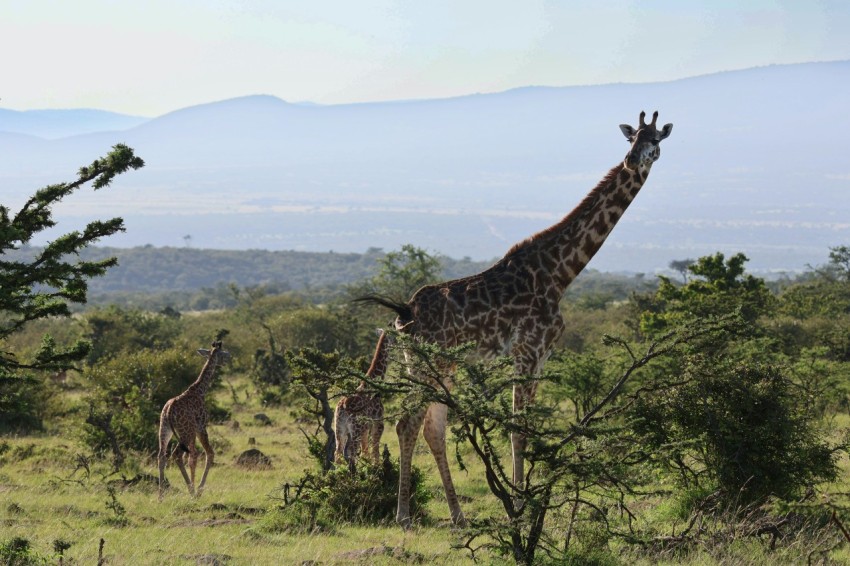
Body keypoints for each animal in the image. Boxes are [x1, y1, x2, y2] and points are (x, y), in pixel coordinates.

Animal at [157, 340, 230, 500]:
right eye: (224, 354)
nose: (229, 359)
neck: (200, 390)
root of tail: (169, 410)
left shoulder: (194, 430)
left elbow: (192, 457)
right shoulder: (201, 426)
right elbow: (208, 454)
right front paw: (199, 490)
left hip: (165, 429)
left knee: (162, 455)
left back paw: (160, 496)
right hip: (185, 431)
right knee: (177, 455)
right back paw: (191, 491)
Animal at [332, 328, 392, 470]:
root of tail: (342, 407)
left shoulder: (366, 427)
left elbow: (365, 452)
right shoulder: (378, 421)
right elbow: (374, 449)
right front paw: (377, 468)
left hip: (339, 428)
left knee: (338, 452)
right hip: (355, 429)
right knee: (351, 452)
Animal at [358, 113, 668, 532]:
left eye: (653, 138)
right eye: (632, 137)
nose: (632, 160)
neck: (561, 272)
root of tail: (403, 315)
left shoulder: (543, 355)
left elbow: (526, 426)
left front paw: (523, 501)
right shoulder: (527, 350)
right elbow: (517, 428)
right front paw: (519, 508)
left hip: (441, 366)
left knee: (432, 428)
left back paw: (458, 516)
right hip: (427, 363)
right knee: (408, 423)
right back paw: (404, 515)